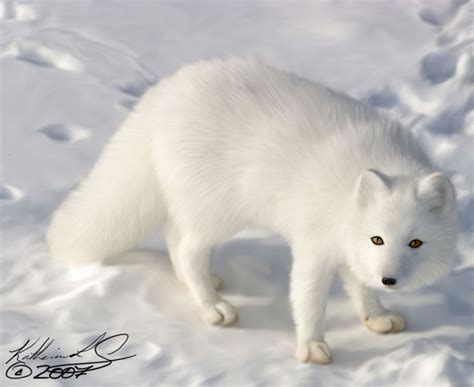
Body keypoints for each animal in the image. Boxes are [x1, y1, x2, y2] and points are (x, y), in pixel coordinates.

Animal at [46, 56, 458, 364]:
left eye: (415, 243)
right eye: (378, 239)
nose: (389, 279)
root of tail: (163, 92)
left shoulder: (346, 247)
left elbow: (360, 287)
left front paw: (377, 316)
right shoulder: (314, 247)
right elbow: (309, 301)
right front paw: (311, 346)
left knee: (175, 237)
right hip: (219, 212)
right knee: (187, 248)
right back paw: (213, 307)